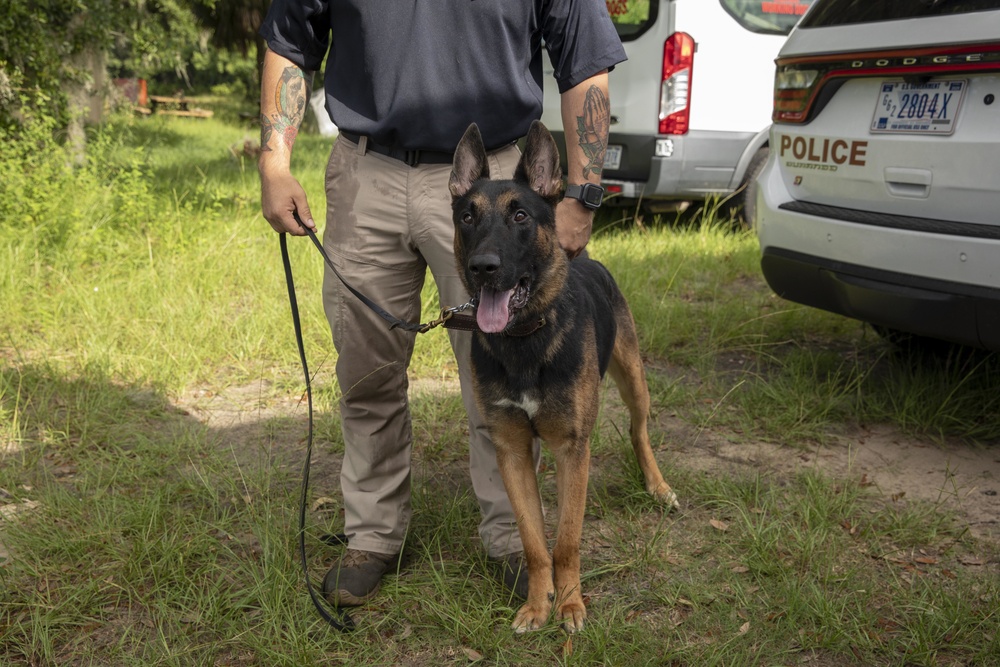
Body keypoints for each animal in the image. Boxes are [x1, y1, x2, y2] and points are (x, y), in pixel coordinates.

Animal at [452, 122, 680, 636]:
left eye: (520, 215)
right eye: (467, 217)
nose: (483, 267)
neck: (524, 340)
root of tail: (585, 257)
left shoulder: (574, 449)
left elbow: (568, 540)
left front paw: (572, 604)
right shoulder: (512, 451)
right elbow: (536, 542)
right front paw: (539, 604)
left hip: (634, 380)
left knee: (639, 430)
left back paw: (657, 485)